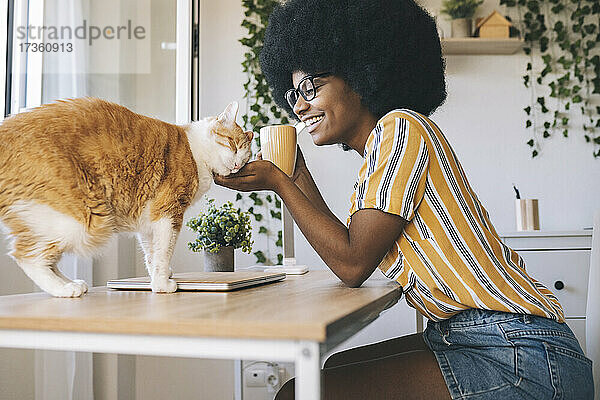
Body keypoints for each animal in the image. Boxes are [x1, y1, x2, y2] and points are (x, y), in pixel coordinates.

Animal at [0, 97, 251, 296]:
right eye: (233, 144)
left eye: (246, 159)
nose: (237, 165)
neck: (196, 151)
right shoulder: (168, 212)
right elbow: (163, 252)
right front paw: (162, 285)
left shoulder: (149, 220)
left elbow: (152, 253)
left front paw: (158, 277)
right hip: (83, 220)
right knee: (26, 255)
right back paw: (65, 289)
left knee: (43, 257)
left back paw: (72, 284)